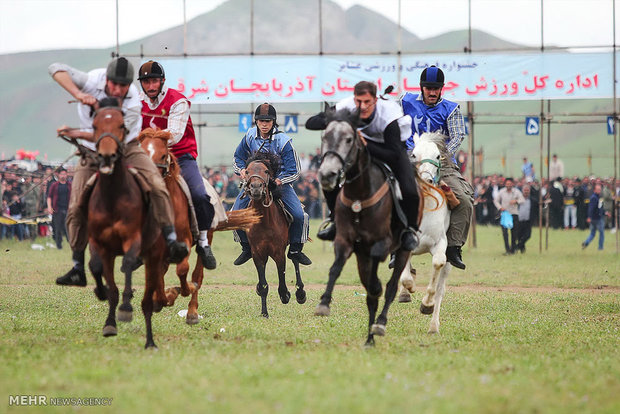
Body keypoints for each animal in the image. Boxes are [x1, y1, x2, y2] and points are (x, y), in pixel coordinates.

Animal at [86, 101, 180, 350]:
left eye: (164, 154)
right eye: (94, 125)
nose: (107, 156)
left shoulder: (140, 242)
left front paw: (129, 307)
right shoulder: (101, 243)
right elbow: (101, 270)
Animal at [138, 128, 262, 326]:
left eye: (163, 154)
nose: (148, 179)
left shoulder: (184, 243)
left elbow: (184, 273)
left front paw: (177, 292)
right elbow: (158, 276)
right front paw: (162, 298)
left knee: (198, 274)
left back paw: (192, 312)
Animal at [245, 152, 308, 316]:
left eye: (266, 171)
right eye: (247, 171)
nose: (256, 188)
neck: (264, 222)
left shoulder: (278, 251)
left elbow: (282, 276)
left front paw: (285, 295)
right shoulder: (257, 253)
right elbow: (263, 285)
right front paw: (264, 313)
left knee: (295, 258)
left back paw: (300, 293)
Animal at [400, 133, 452, 334]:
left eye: (438, 156)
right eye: (414, 154)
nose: (426, 181)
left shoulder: (440, 244)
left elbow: (437, 265)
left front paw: (426, 304)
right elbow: (405, 278)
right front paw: (408, 289)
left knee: (441, 289)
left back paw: (433, 327)